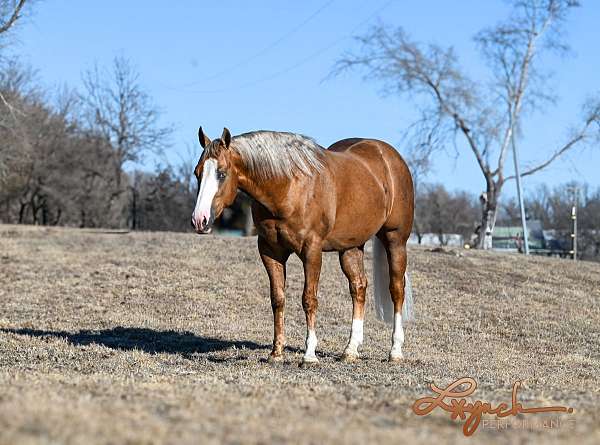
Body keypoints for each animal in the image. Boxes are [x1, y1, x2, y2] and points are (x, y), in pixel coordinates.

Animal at [192, 126, 412, 362]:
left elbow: (309, 299)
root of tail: (388, 155)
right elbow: (278, 298)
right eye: (197, 173)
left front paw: (309, 355)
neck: (288, 188)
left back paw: (395, 351)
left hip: (395, 240)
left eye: (221, 173)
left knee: (396, 289)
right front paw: (276, 353)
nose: (199, 220)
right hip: (351, 247)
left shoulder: (311, 251)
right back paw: (350, 350)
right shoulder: (270, 251)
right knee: (358, 287)